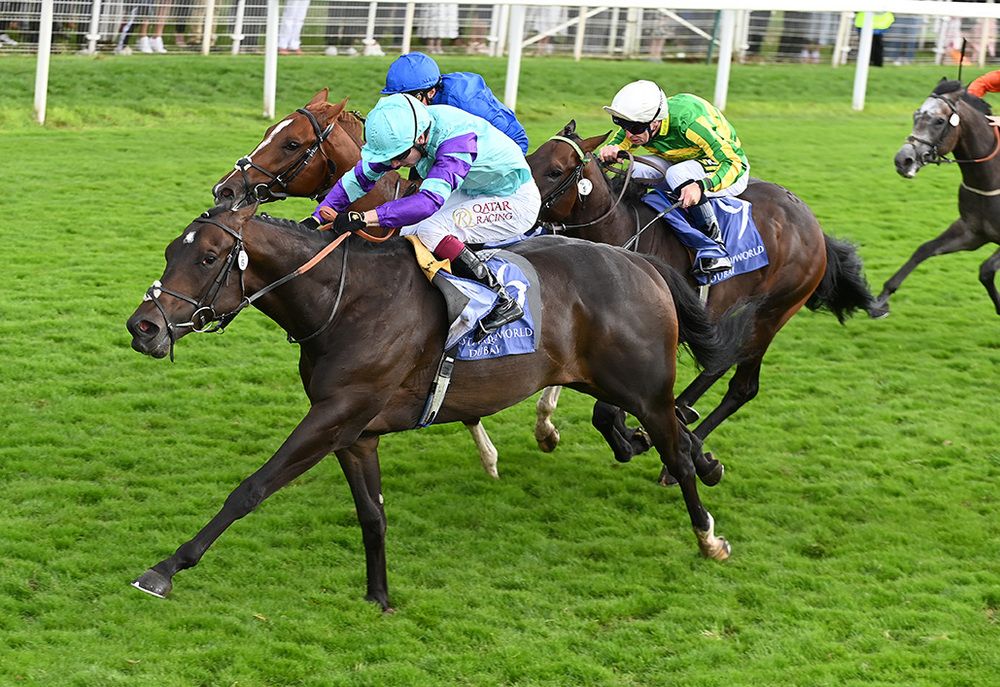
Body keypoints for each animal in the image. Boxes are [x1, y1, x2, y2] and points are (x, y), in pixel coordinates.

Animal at [123, 204, 756, 608]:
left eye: (208, 258)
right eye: (170, 251)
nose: (143, 327)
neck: (345, 301)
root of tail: (641, 263)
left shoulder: (333, 415)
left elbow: (251, 488)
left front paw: (165, 569)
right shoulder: (354, 431)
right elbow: (372, 514)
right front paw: (379, 596)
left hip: (641, 388)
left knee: (674, 449)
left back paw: (708, 535)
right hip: (607, 383)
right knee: (673, 432)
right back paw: (708, 465)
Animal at [528, 121, 880, 472]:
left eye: (555, 171)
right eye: (530, 158)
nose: (525, 212)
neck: (624, 232)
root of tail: (814, 225)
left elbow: (608, 409)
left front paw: (635, 439)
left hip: (771, 313)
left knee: (741, 385)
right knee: (721, 358)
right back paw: (681, 420)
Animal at [892, 78, 1000, 314]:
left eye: (939, 121)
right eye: (916, 115)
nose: (903, 160)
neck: (990, 180)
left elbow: (986, 269)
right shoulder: (972, 233)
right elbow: (924, 249)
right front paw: (879, 301)